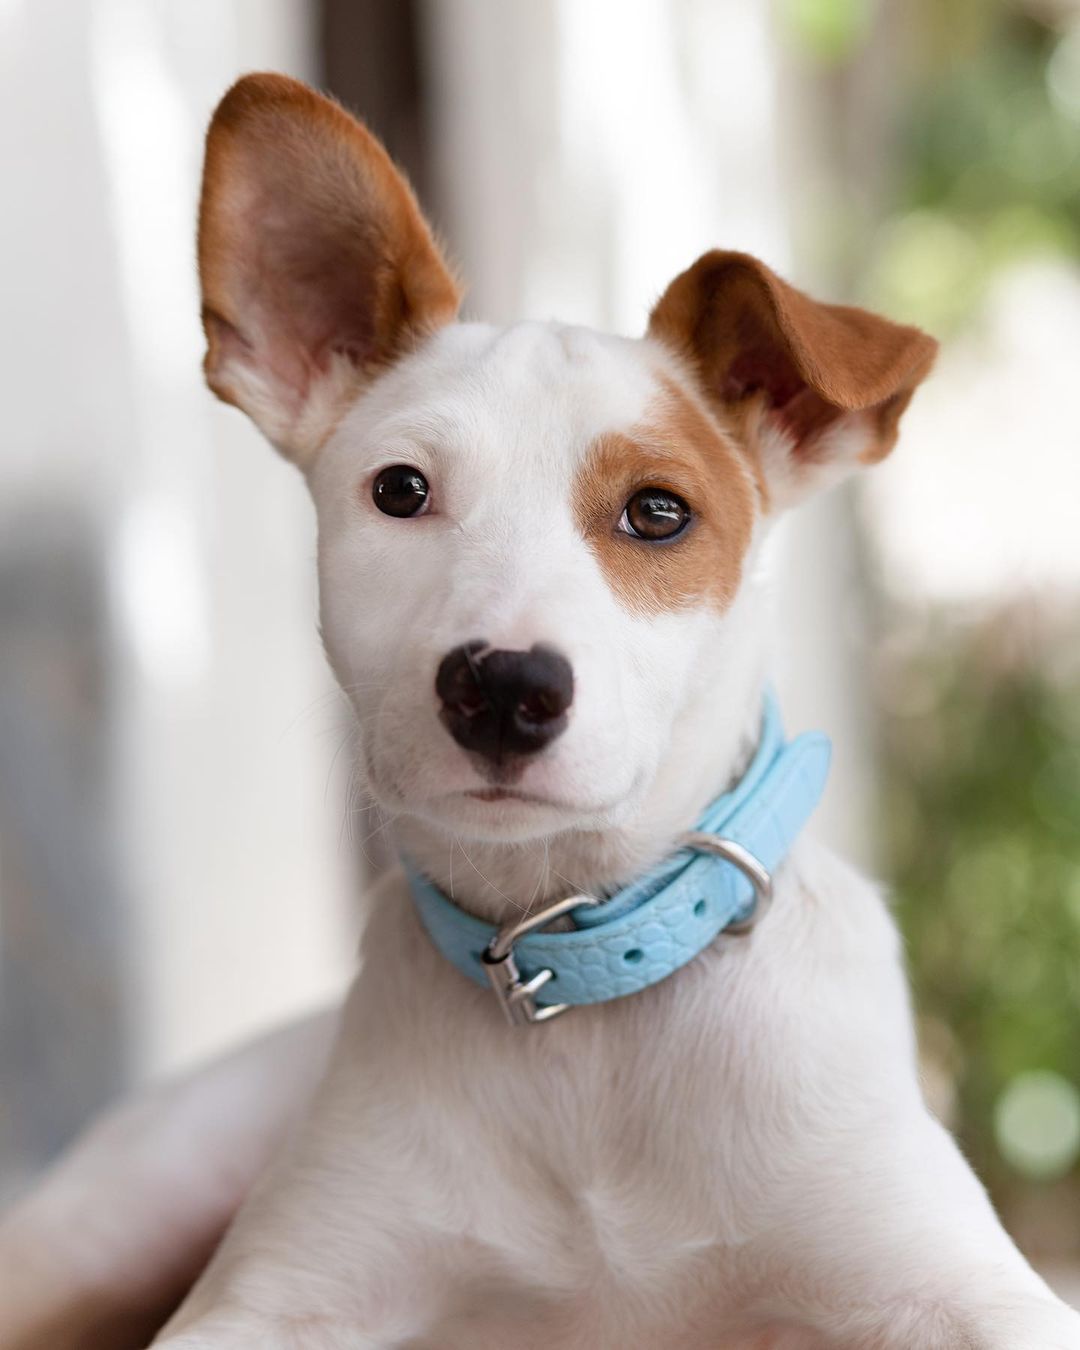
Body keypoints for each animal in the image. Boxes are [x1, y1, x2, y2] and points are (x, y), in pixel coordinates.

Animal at [35, 71, 1080, 1348]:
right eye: (400, 491)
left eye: (659, 514)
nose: (501, 686)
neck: (577, 988)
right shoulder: (263, 1302)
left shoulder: (967, 1290)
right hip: (108, 1223)